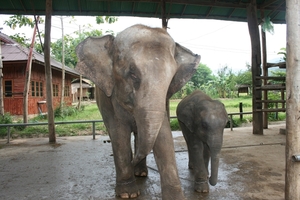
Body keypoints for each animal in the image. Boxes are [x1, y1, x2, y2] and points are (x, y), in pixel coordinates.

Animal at [76, 24, 200, 199]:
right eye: (132, 74)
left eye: (171, 79)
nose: (132, 161)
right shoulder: (111, 98)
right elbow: (119, 134)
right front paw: (128, 194)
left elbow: (163, 136)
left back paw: (140, 173)